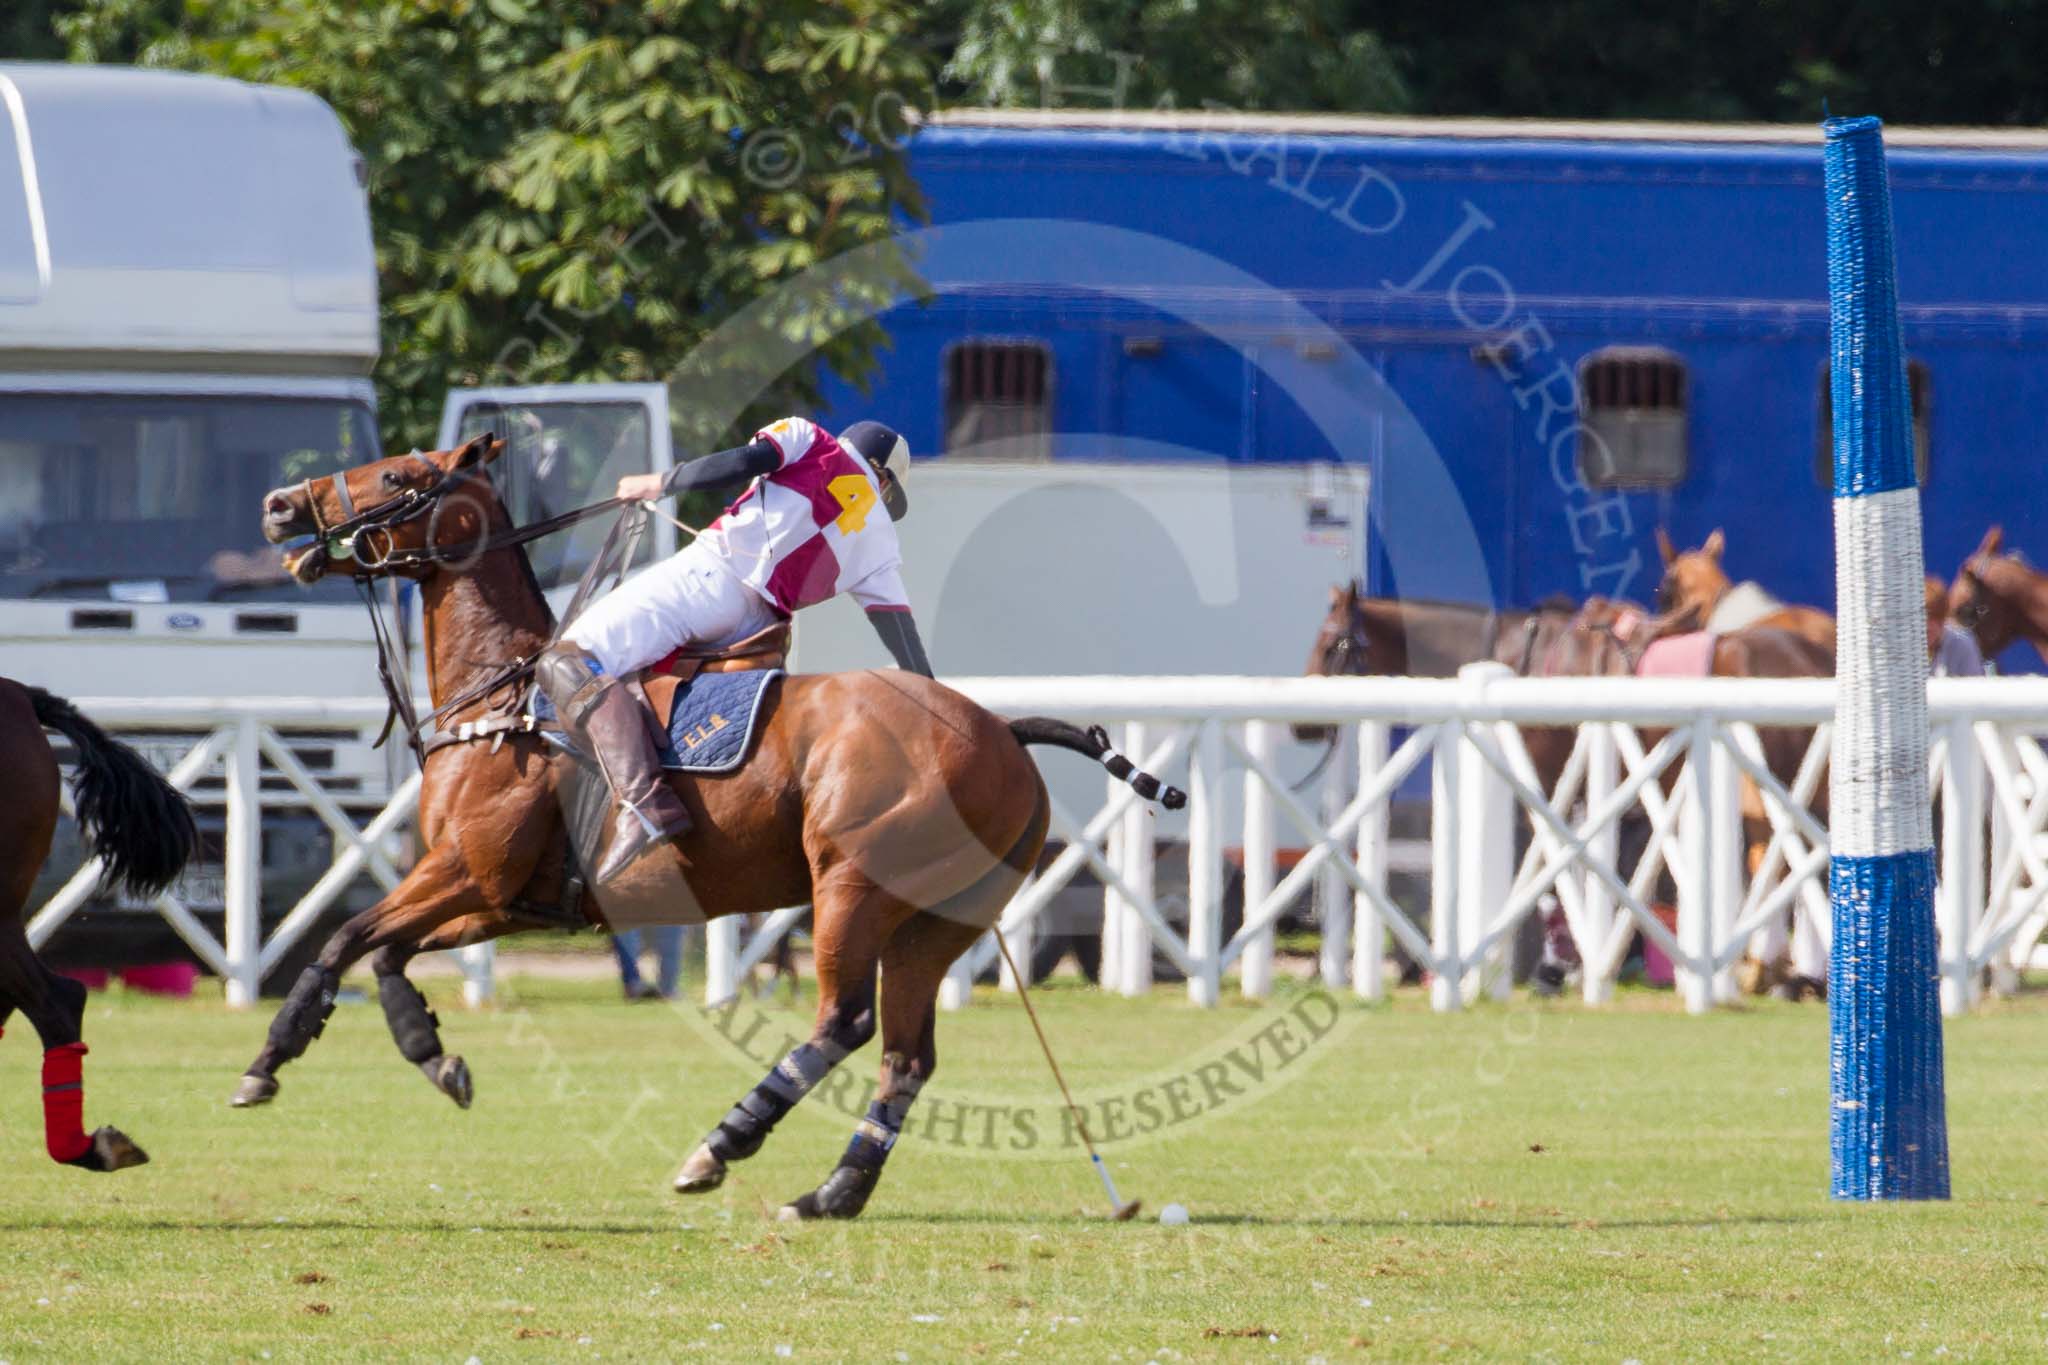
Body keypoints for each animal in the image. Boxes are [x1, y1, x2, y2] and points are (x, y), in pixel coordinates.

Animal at [235, 435, 1187, 1219]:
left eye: (399, 475)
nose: (279, 503)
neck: (502, 695)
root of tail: (1005, 732)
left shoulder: (467, 868)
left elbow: (345, 935)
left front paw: (266, 1061)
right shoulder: (504, 896)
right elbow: (387, 951)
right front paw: (435, 1054)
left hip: (853, 886)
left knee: (844, 1022)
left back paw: (723, 1144)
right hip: (937, 922)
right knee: (907, 1055)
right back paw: (833, 1192)